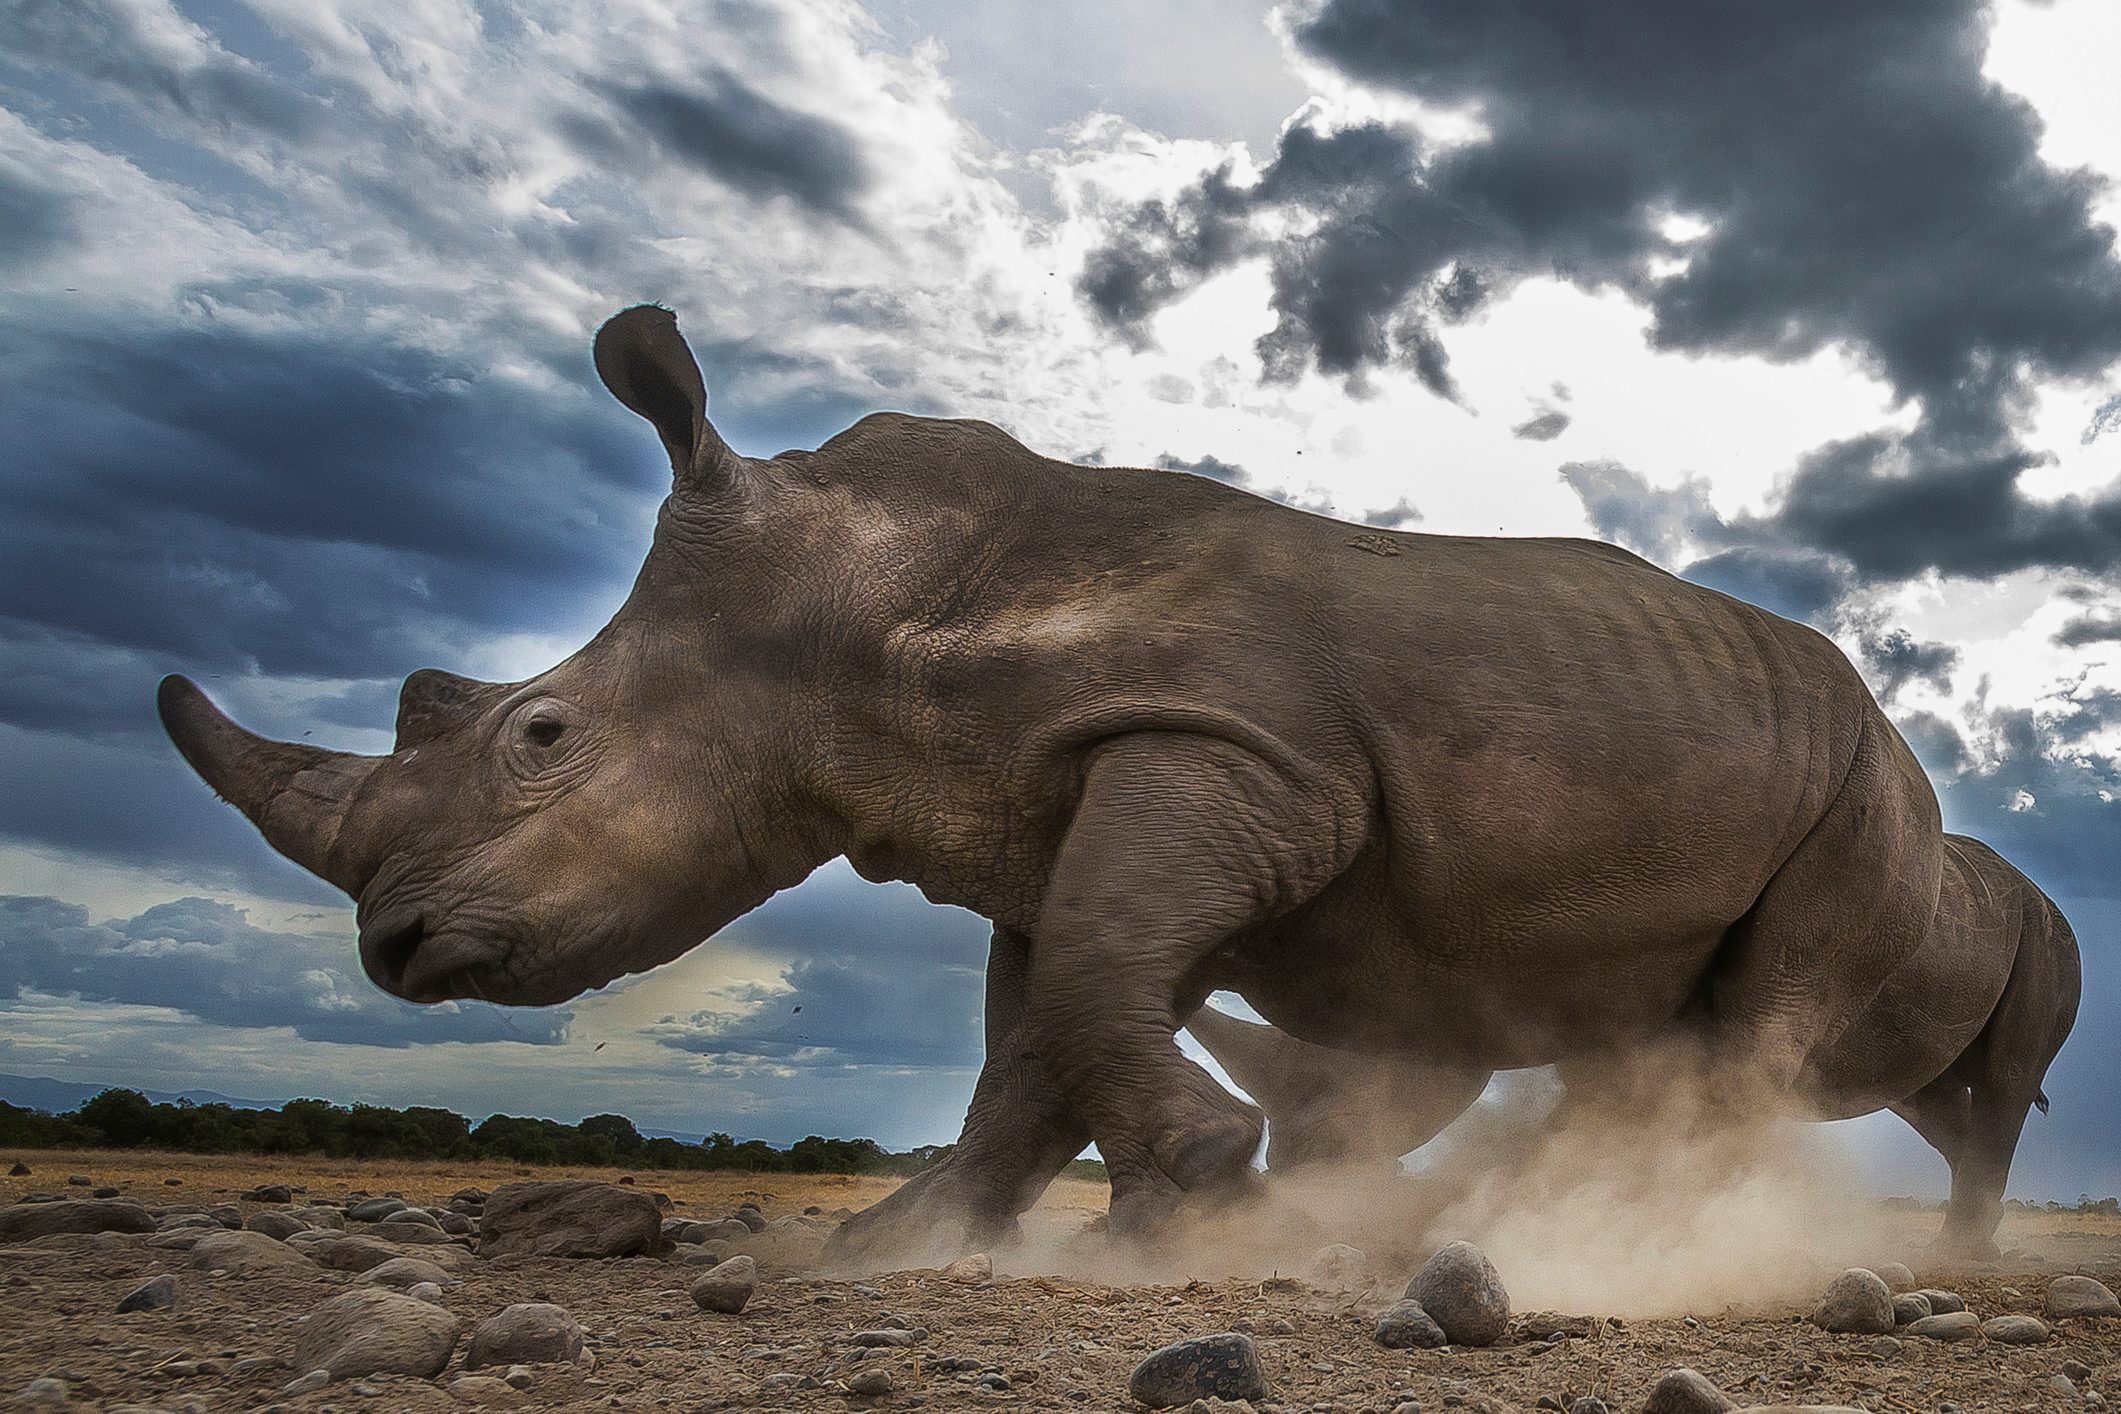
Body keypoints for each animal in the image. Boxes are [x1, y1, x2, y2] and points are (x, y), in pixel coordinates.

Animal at [1184, 833, 2080, 1254]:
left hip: (2047, 933)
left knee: (2005, 1079)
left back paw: (1957, 1250)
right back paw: (1972, 1233)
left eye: (1364, 1087)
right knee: (1926, 1099)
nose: (1295, 1171)